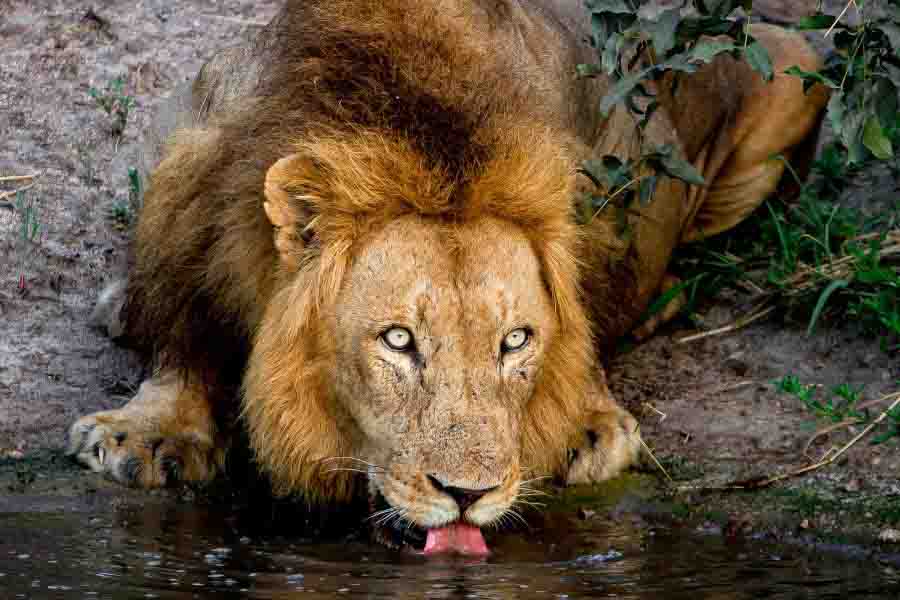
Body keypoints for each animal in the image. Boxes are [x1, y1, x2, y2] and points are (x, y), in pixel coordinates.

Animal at [68, 0, 827, 555]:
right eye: (399, 340)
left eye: (516, 341)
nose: (469, 495)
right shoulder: (197, 158)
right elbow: (181, 329)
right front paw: (151, 432)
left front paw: (587, 422)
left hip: (797, 70)